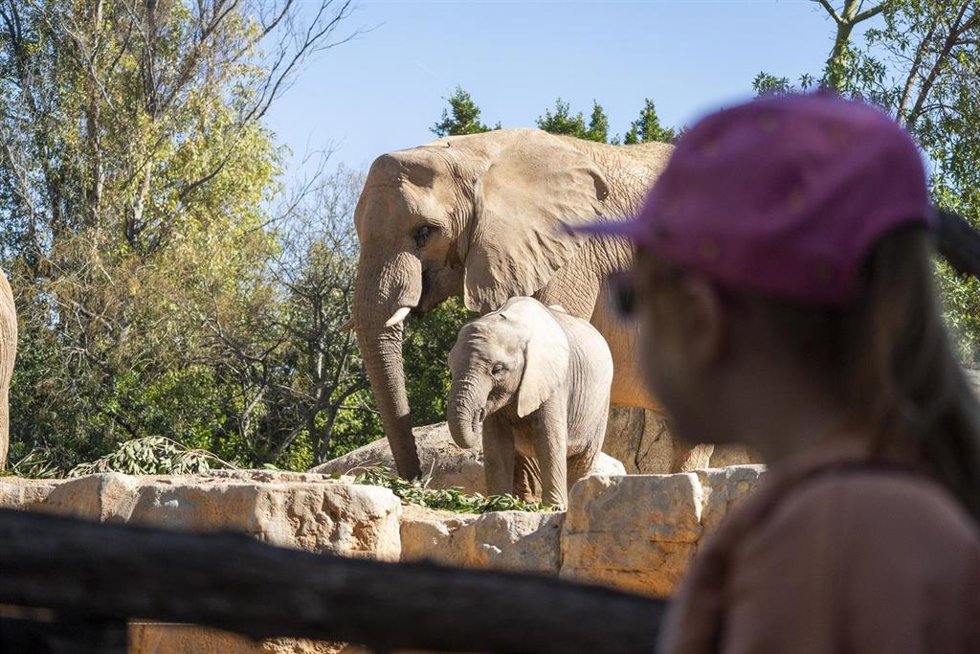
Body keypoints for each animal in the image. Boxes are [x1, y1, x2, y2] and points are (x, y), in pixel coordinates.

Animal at [447, 297, 613, 507]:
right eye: (451, 368)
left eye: (497, 369)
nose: (479, 412)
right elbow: (496, 442)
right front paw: (497, 504)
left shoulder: (553, 381)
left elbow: (549, 439)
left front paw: (554, 507)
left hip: (600, 406)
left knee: (582, 461)